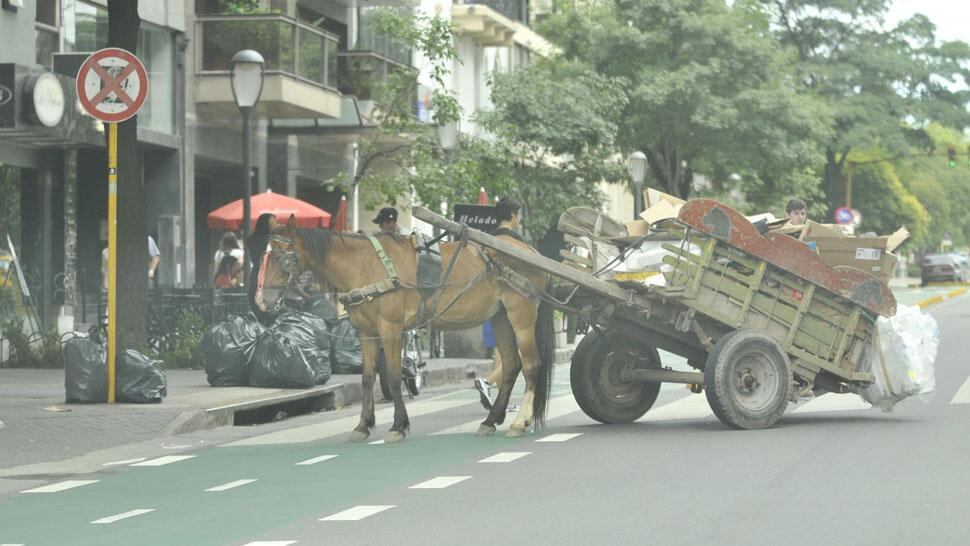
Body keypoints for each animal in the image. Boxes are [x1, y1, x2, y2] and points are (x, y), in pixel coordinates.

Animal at [253, 216, 556, 442]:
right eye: (263, 257)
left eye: (283, 258)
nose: (261, 302)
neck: (364, 265)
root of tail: (531, 252)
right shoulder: (367, 332)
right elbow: (367, 378)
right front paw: (363, 425)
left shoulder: (390, 327)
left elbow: (394, 375)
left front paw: (398, 425)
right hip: (500, 317)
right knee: (512, 365)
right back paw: (491, 420)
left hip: (521, 314)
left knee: (531, 365)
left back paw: (519, 421)